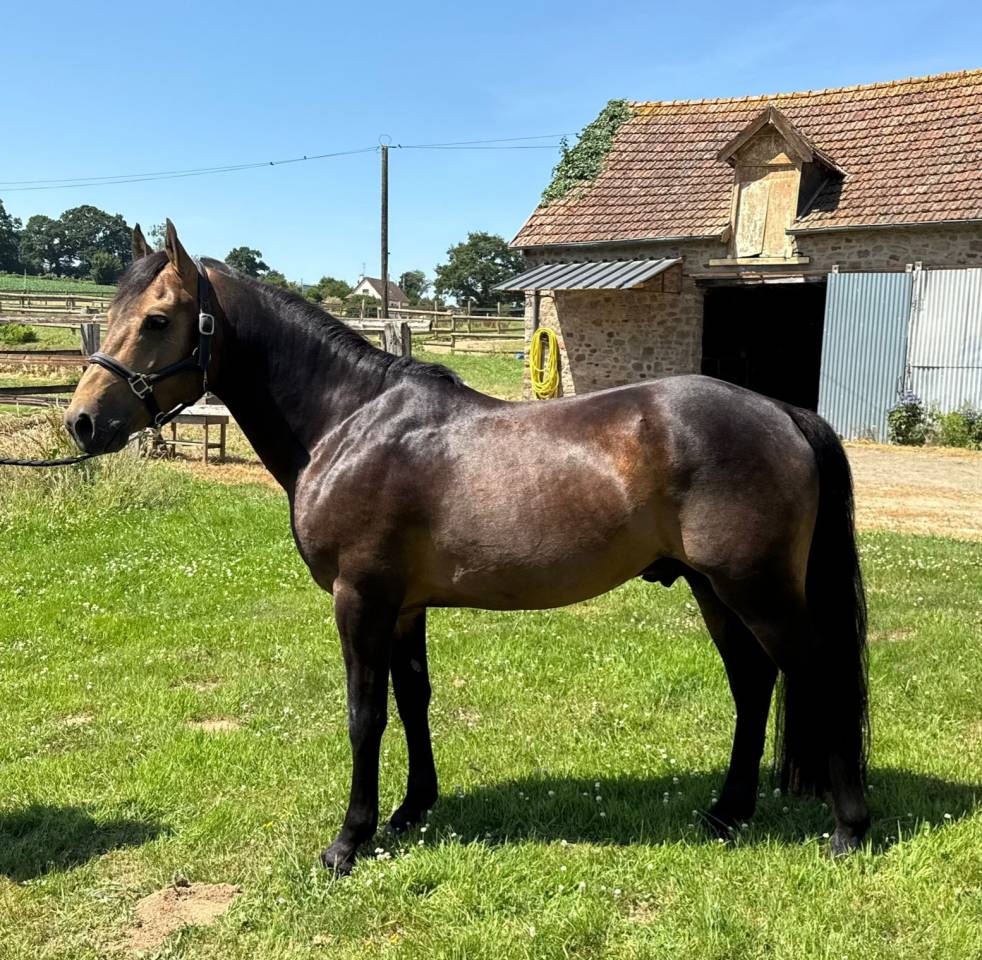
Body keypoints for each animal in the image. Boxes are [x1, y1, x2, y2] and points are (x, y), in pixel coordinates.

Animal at [64, 222, 870, 874]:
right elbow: (414, 698)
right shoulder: (403, 605)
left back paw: (849, 830)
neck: (348, 423)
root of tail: (784, 413)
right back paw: (728, 813)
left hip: (754, 590)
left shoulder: (361, 599)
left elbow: (366, 714)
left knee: (816, 675)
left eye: (158, 319)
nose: (82, 423)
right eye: (111, 314)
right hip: (715, 590)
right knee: (753, 683)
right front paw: (411, 810)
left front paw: (349, 841)